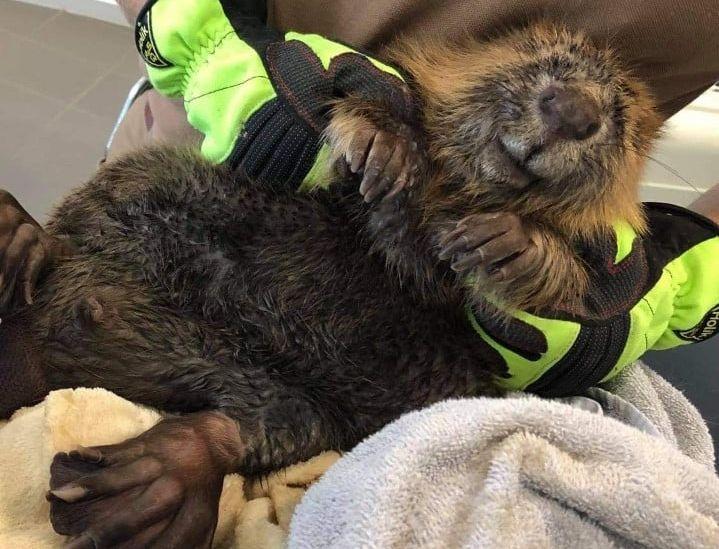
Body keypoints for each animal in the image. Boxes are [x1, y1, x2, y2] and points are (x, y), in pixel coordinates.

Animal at [0, 22, 660, 548]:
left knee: (241, 430)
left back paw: (132, 498)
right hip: (154, 179)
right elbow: (378, 170)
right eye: (542, 59)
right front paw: (385, 144)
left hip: (324, 411)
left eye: (623, 118)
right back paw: (21, 243)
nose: (572, 111)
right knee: (81, 226)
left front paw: (516, 244)